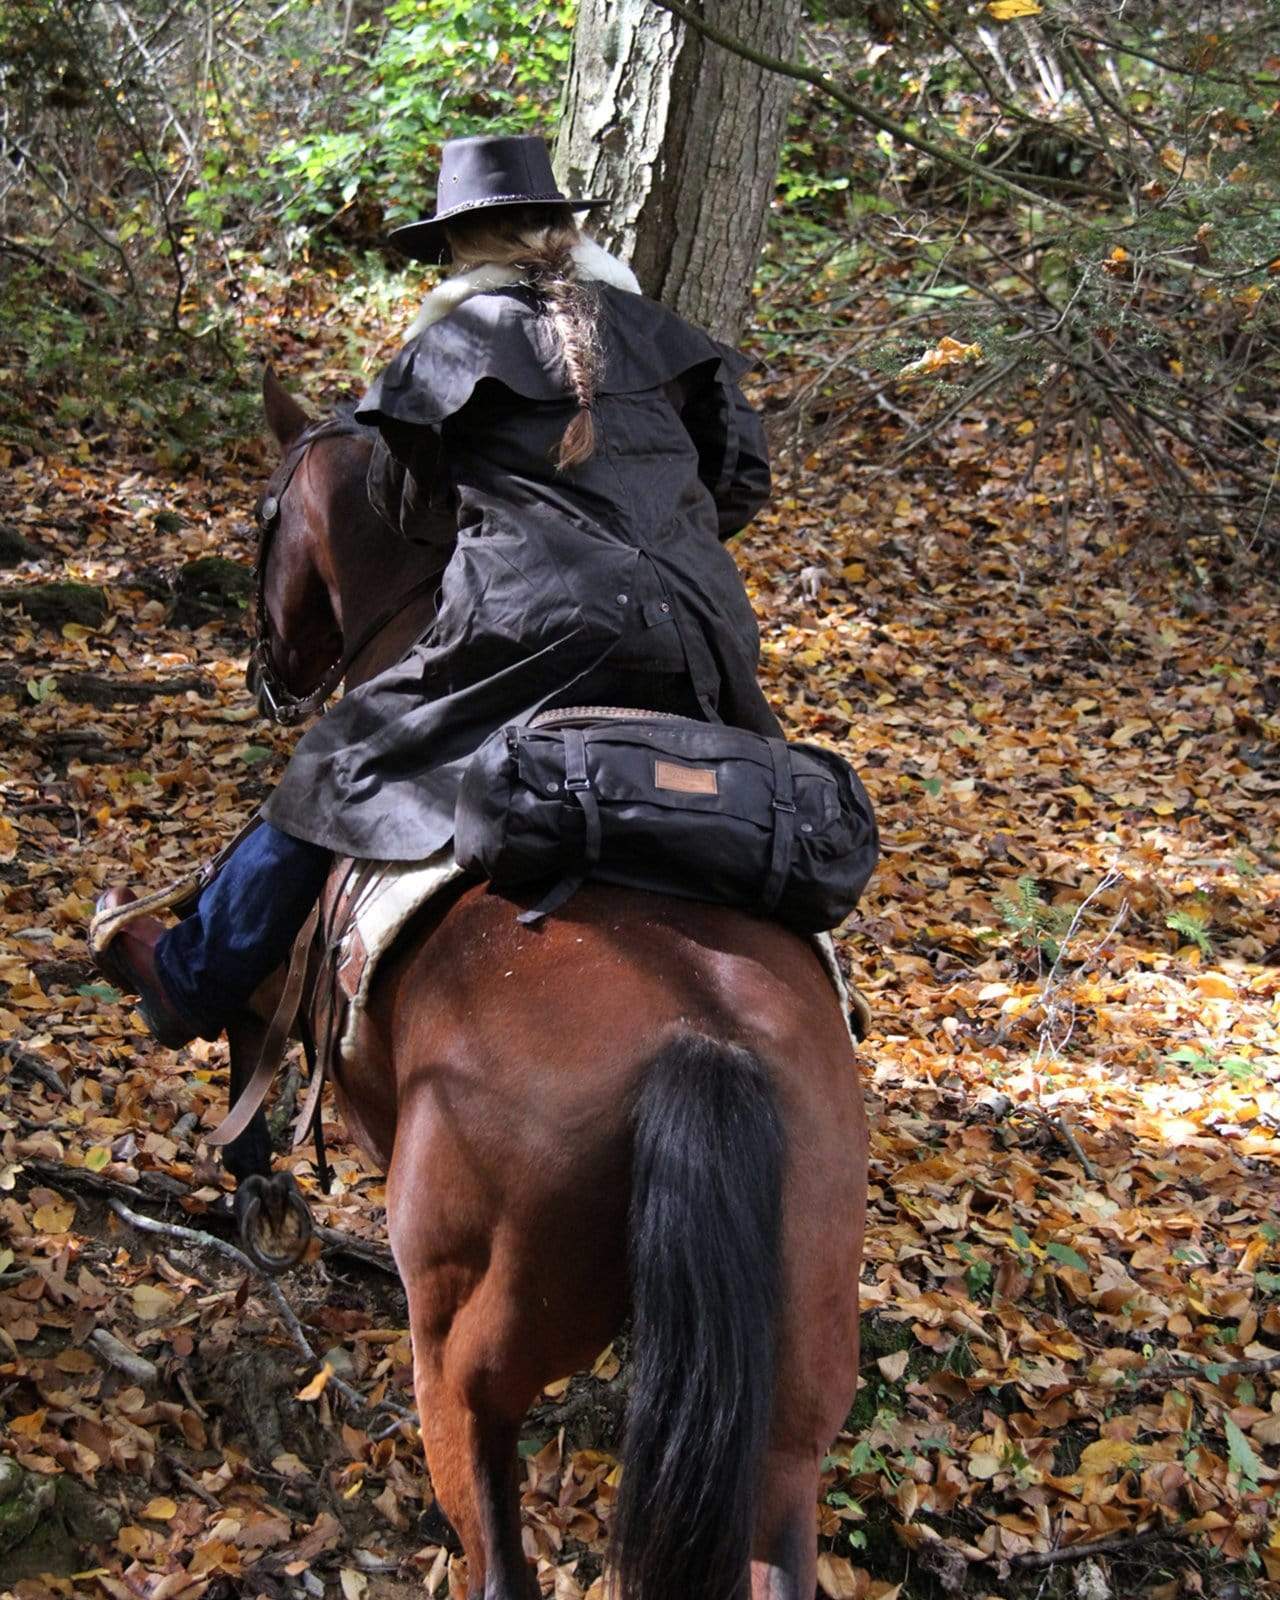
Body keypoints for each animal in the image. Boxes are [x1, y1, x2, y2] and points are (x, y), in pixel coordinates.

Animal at [232, 366, 870, 1600]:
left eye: (264, 519)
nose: (272, 671)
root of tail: (703, 1044)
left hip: (465, 1367)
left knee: (493, 1552)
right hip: (791, 1415)